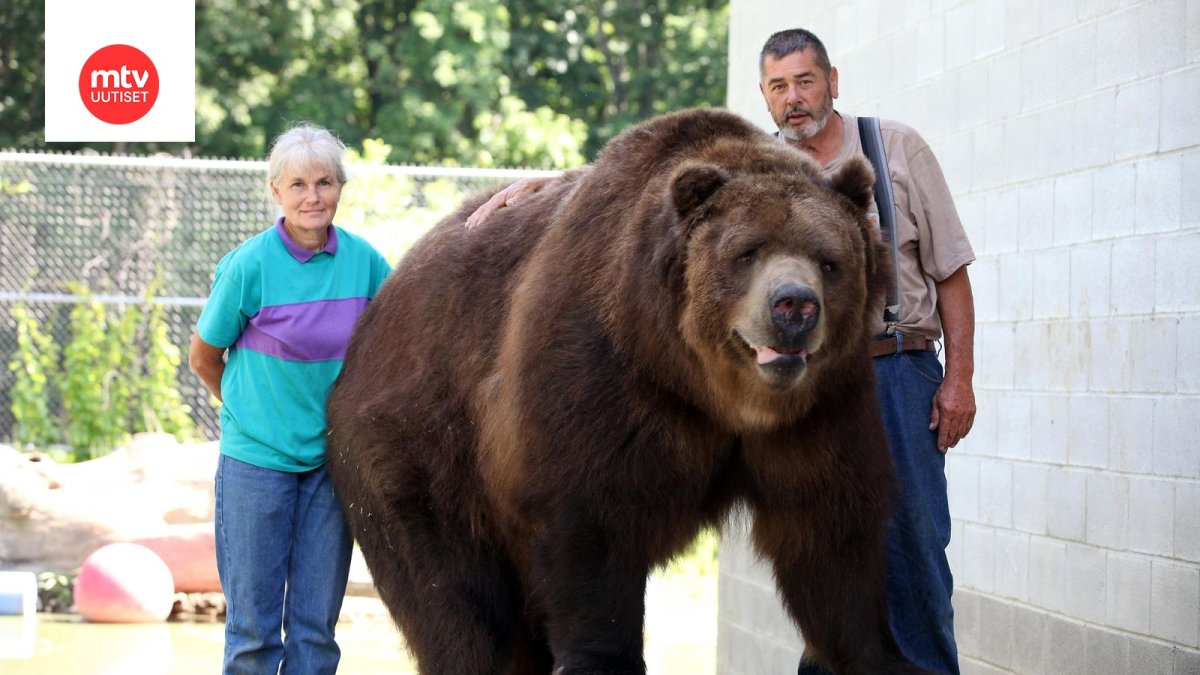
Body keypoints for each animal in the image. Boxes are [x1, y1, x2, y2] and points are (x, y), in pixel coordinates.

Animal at [325, 107, 925, 675]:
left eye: (829, 260)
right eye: (747, 252)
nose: (794, 305)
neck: (710, 389)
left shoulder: (821, 408)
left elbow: (831, 530)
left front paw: (886, 656)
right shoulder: (602, 376)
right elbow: (594, 522)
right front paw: (601, 658)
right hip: (422, 453)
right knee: (457, 598)